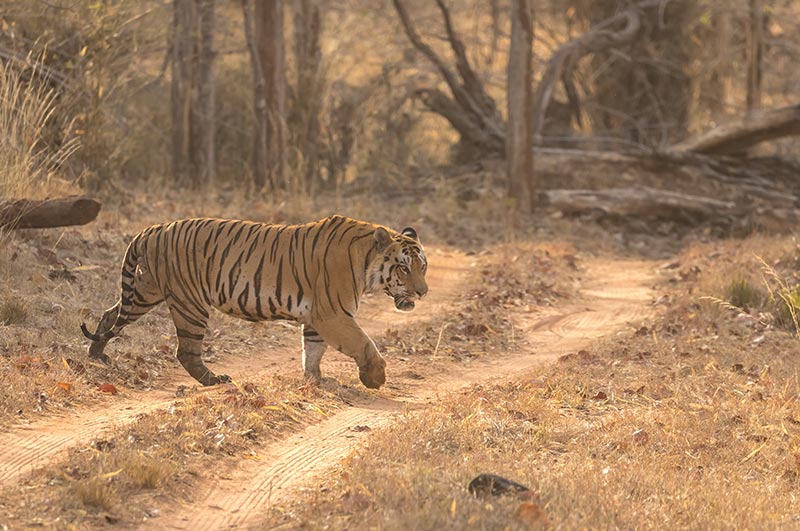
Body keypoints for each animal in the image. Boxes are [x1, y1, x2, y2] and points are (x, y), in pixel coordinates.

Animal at [80, 216, 428, 390]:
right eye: (404, 268)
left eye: (422, 267)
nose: (423, 292)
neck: (366, 261)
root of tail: (153, 229)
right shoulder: (333, 314)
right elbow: (363, 343)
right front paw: (375, 378)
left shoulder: (318, 317)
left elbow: (312, 349)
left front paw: (314, 379)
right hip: (189, 303)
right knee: (185, 351)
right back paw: (214, 380)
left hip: (146, 290)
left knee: (110, 315)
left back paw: (96, 355)